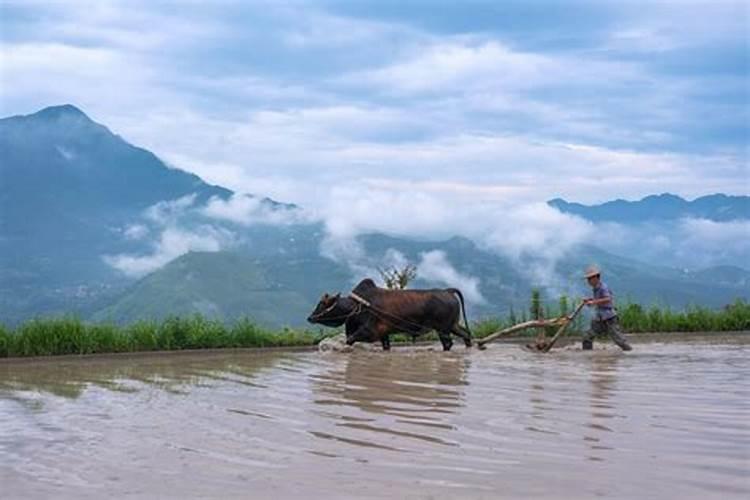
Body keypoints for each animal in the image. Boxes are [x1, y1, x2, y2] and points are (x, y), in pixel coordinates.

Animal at [306, 278, 470, 352]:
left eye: (322, 304)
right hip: (452, 326)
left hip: (443, 330)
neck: (356, 307)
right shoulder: (384, 335)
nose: (310, 317)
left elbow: (349, 340)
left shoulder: (369, 332)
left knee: (448, 343)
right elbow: (386, 346)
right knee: (466, 334)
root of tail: (447, 291)